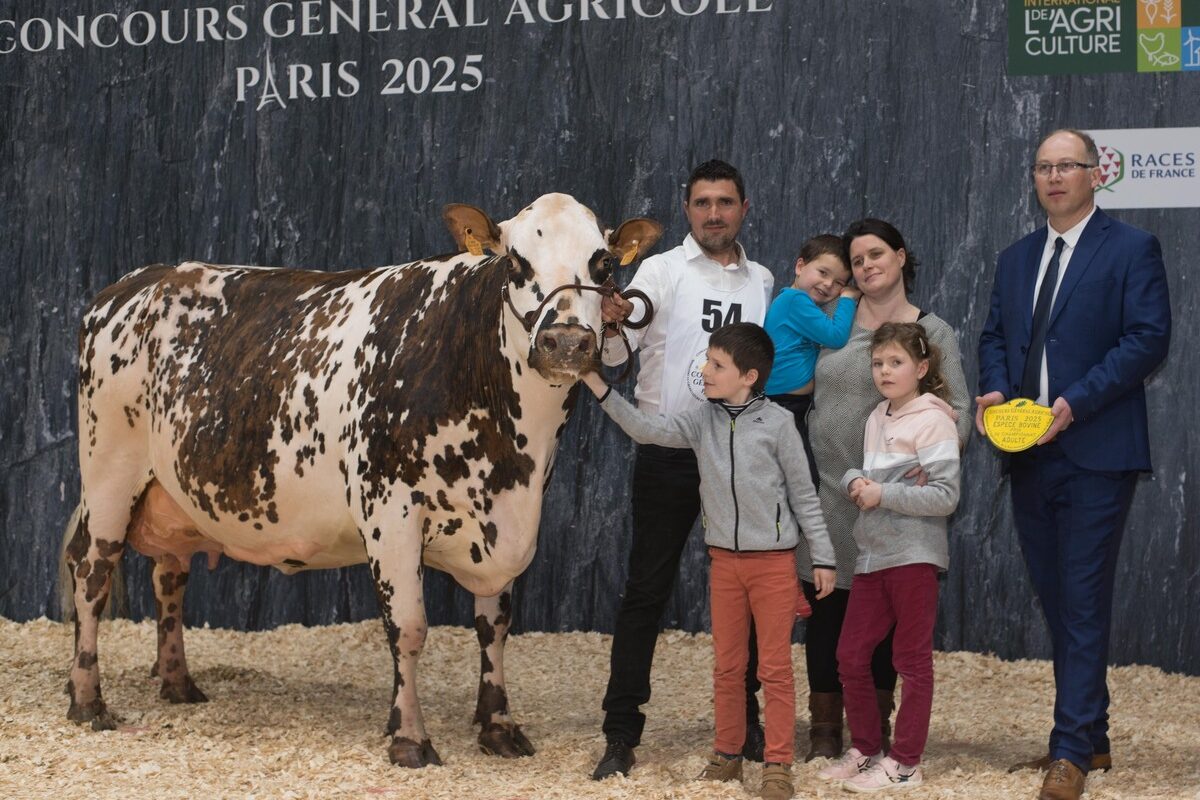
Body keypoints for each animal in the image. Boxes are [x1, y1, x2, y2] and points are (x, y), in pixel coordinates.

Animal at [63, 190, 667, 767]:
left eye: (603, 263)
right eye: (516, 261)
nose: (566, 342)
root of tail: (134, 283)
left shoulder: (506, 523)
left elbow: (494, 628)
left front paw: (498, 726)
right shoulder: (389, 509)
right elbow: (410, 627)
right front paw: (409, 738)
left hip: (172, 497)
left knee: (169, 575)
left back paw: (177, 682)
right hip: (109, 472)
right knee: (91, 573)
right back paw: (88, 699)